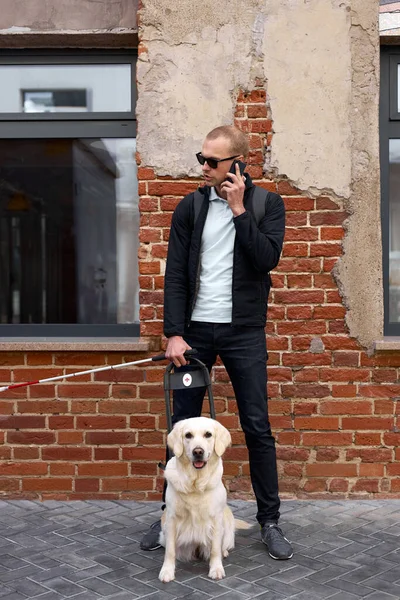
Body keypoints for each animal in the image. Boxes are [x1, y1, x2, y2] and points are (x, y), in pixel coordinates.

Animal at [157, 418, 248, 580]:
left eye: (208, 434)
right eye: (188, 435)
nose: (198, 451)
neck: (195, 483)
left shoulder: (216, 519)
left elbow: (215, 549)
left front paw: (216, 569)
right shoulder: (172, 519)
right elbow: (170, 551)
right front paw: (167, 571)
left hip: (227, 531)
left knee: (223, 546)